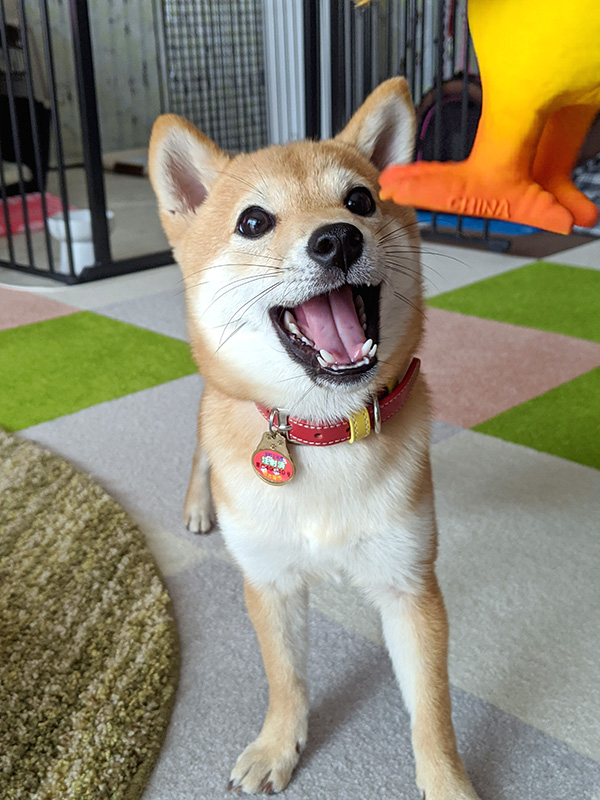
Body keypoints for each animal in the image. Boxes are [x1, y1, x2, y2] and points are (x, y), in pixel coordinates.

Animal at [151, 76, 482, 800]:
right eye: (253, 221)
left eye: (360, 200)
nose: (337, 239)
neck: (324, 431)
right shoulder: (269, 580)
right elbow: (286, 679)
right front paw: (278, 745)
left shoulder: (409, 585)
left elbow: (433, 710)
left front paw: (447, 782)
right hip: (209, 406)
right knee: (197, 451)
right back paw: (198, 505)